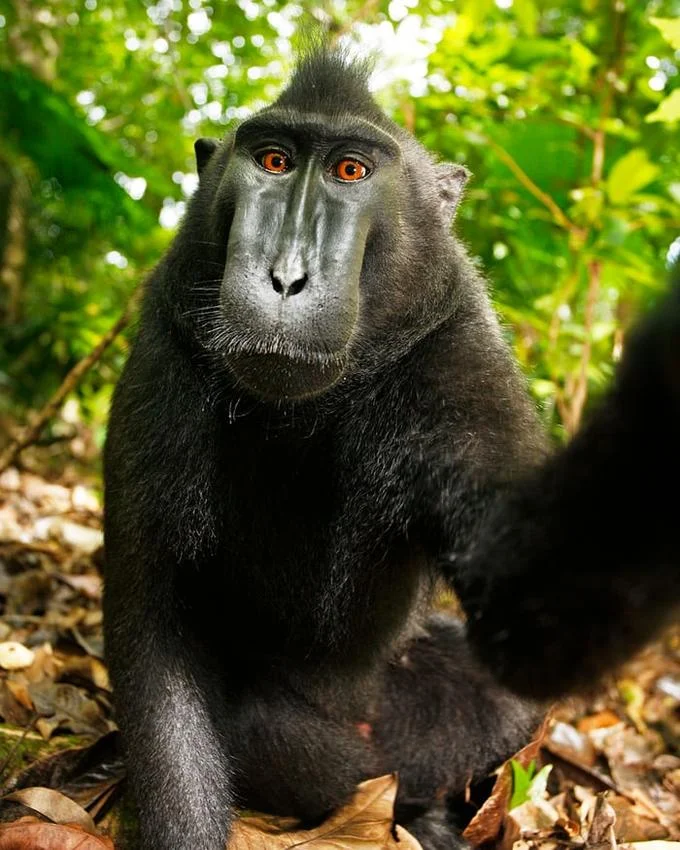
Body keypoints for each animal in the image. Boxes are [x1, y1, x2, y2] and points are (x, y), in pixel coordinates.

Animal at [103, 48, 679, 850]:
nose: (287, 278)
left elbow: (534, 615)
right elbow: (156, 628)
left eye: (350, 171)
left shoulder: (456, 351)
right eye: (274, 161)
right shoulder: (168, 347)